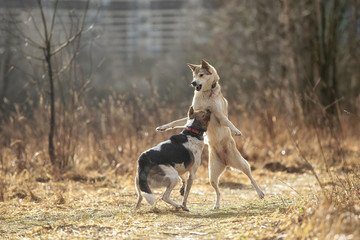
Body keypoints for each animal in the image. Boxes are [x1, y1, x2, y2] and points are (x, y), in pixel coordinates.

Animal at [157, 60, 264, 210]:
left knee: (251, 177)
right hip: (212, 176)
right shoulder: (191, 115)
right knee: (218, 191)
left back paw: (260, 192)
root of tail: (226, 161)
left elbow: (228, 121)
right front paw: (163, 127)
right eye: (194, 75)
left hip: (242, 164)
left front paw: (236, 130)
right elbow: (176, 122)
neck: (206, 94)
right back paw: (217, 205)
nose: (193, 83)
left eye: (201, 75)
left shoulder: (220, 116)